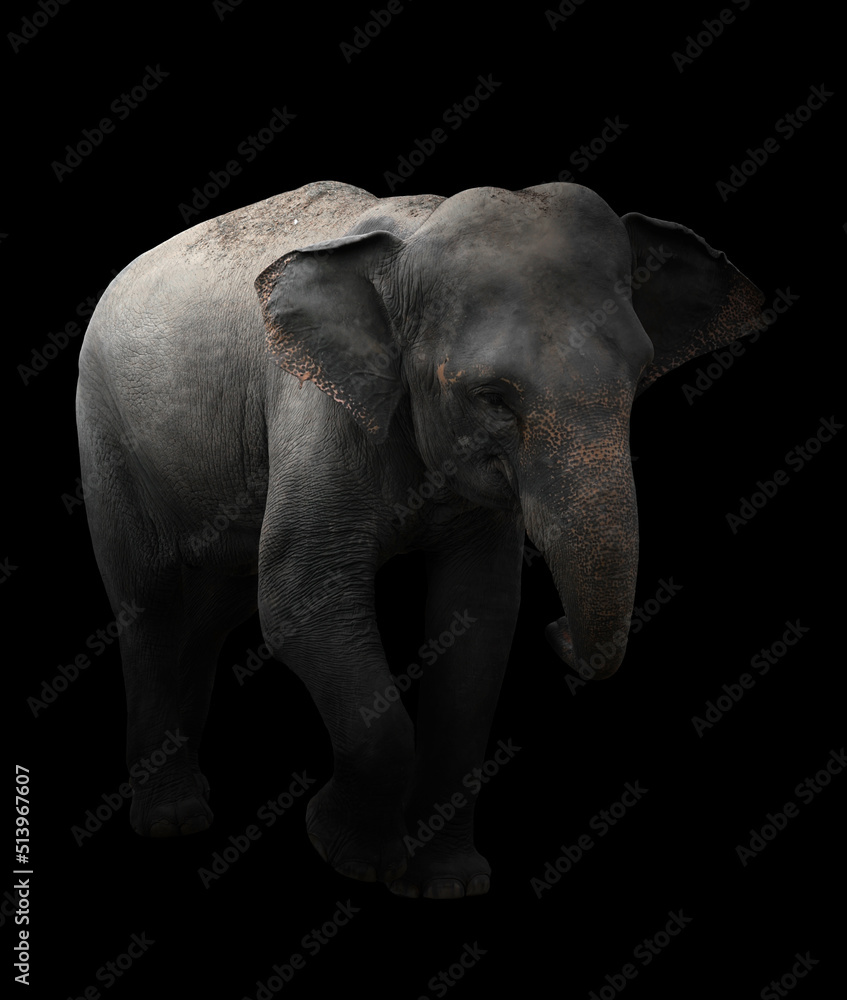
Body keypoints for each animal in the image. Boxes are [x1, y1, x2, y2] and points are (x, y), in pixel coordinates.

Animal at [76, 179, 763, 899]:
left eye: (638, 377)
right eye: (492, 397)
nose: (559, 633)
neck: (412, 234)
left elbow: (480, 619)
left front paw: (447, 885)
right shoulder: (316, 410)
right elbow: (300, 600)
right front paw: (346, 852)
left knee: (207, 616)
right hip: (106, 435)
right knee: (149, 609)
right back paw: (174, 821)